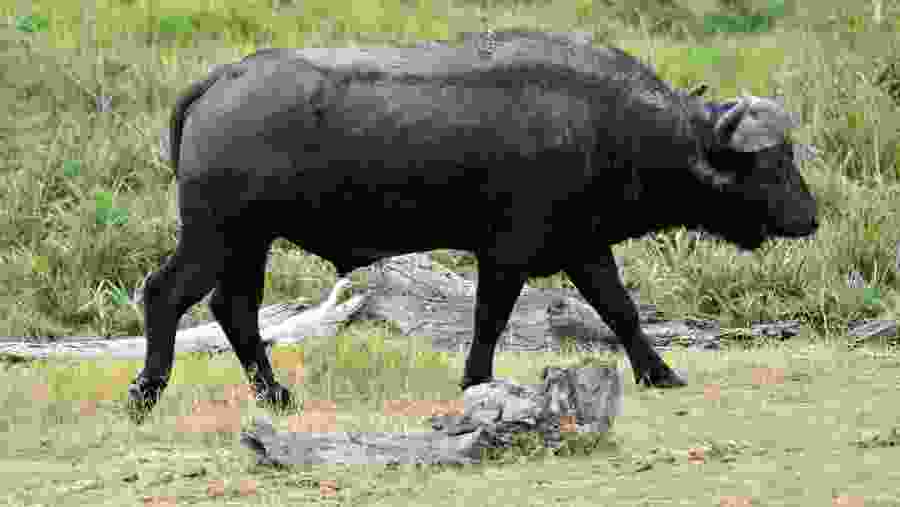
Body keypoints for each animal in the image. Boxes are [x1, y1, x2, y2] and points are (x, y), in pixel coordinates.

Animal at [128, 30, 818, 423]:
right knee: (166, 294)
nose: (809, 218)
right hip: (216, 235)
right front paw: (478, 382)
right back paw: (145, 395)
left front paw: (661, 372)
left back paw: (276, 396)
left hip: (249, 242)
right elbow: (491, 317)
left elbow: (620, 310)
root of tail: (221, 81)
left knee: (234, 308)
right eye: (771, 164)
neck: (604, 123)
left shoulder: (584, 246)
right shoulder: (509, 252)